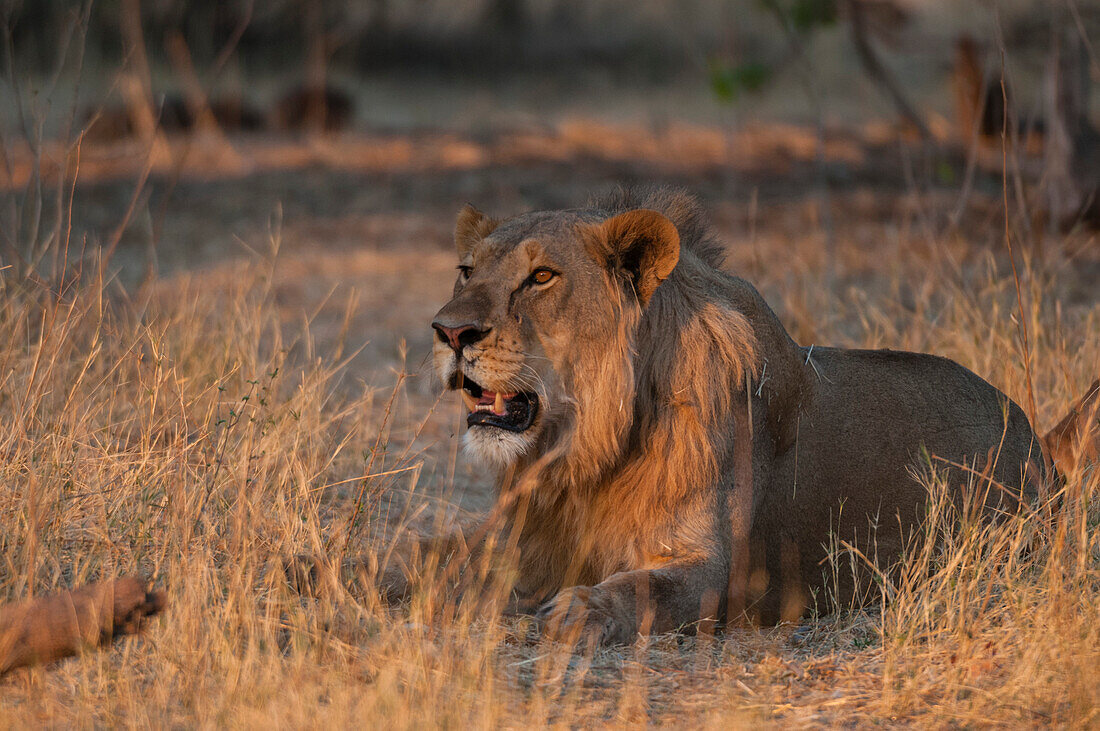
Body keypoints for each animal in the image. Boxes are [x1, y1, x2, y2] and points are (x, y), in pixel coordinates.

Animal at [294, 187, 1100, 646]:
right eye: (466, 270)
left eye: (542, 276)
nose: (448, 330)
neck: (588, 449)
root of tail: (1042, 446)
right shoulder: (520, 537)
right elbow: (417, 553)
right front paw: (320, 567)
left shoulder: (716, 573)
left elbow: (640, 588)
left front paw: (578, 613)